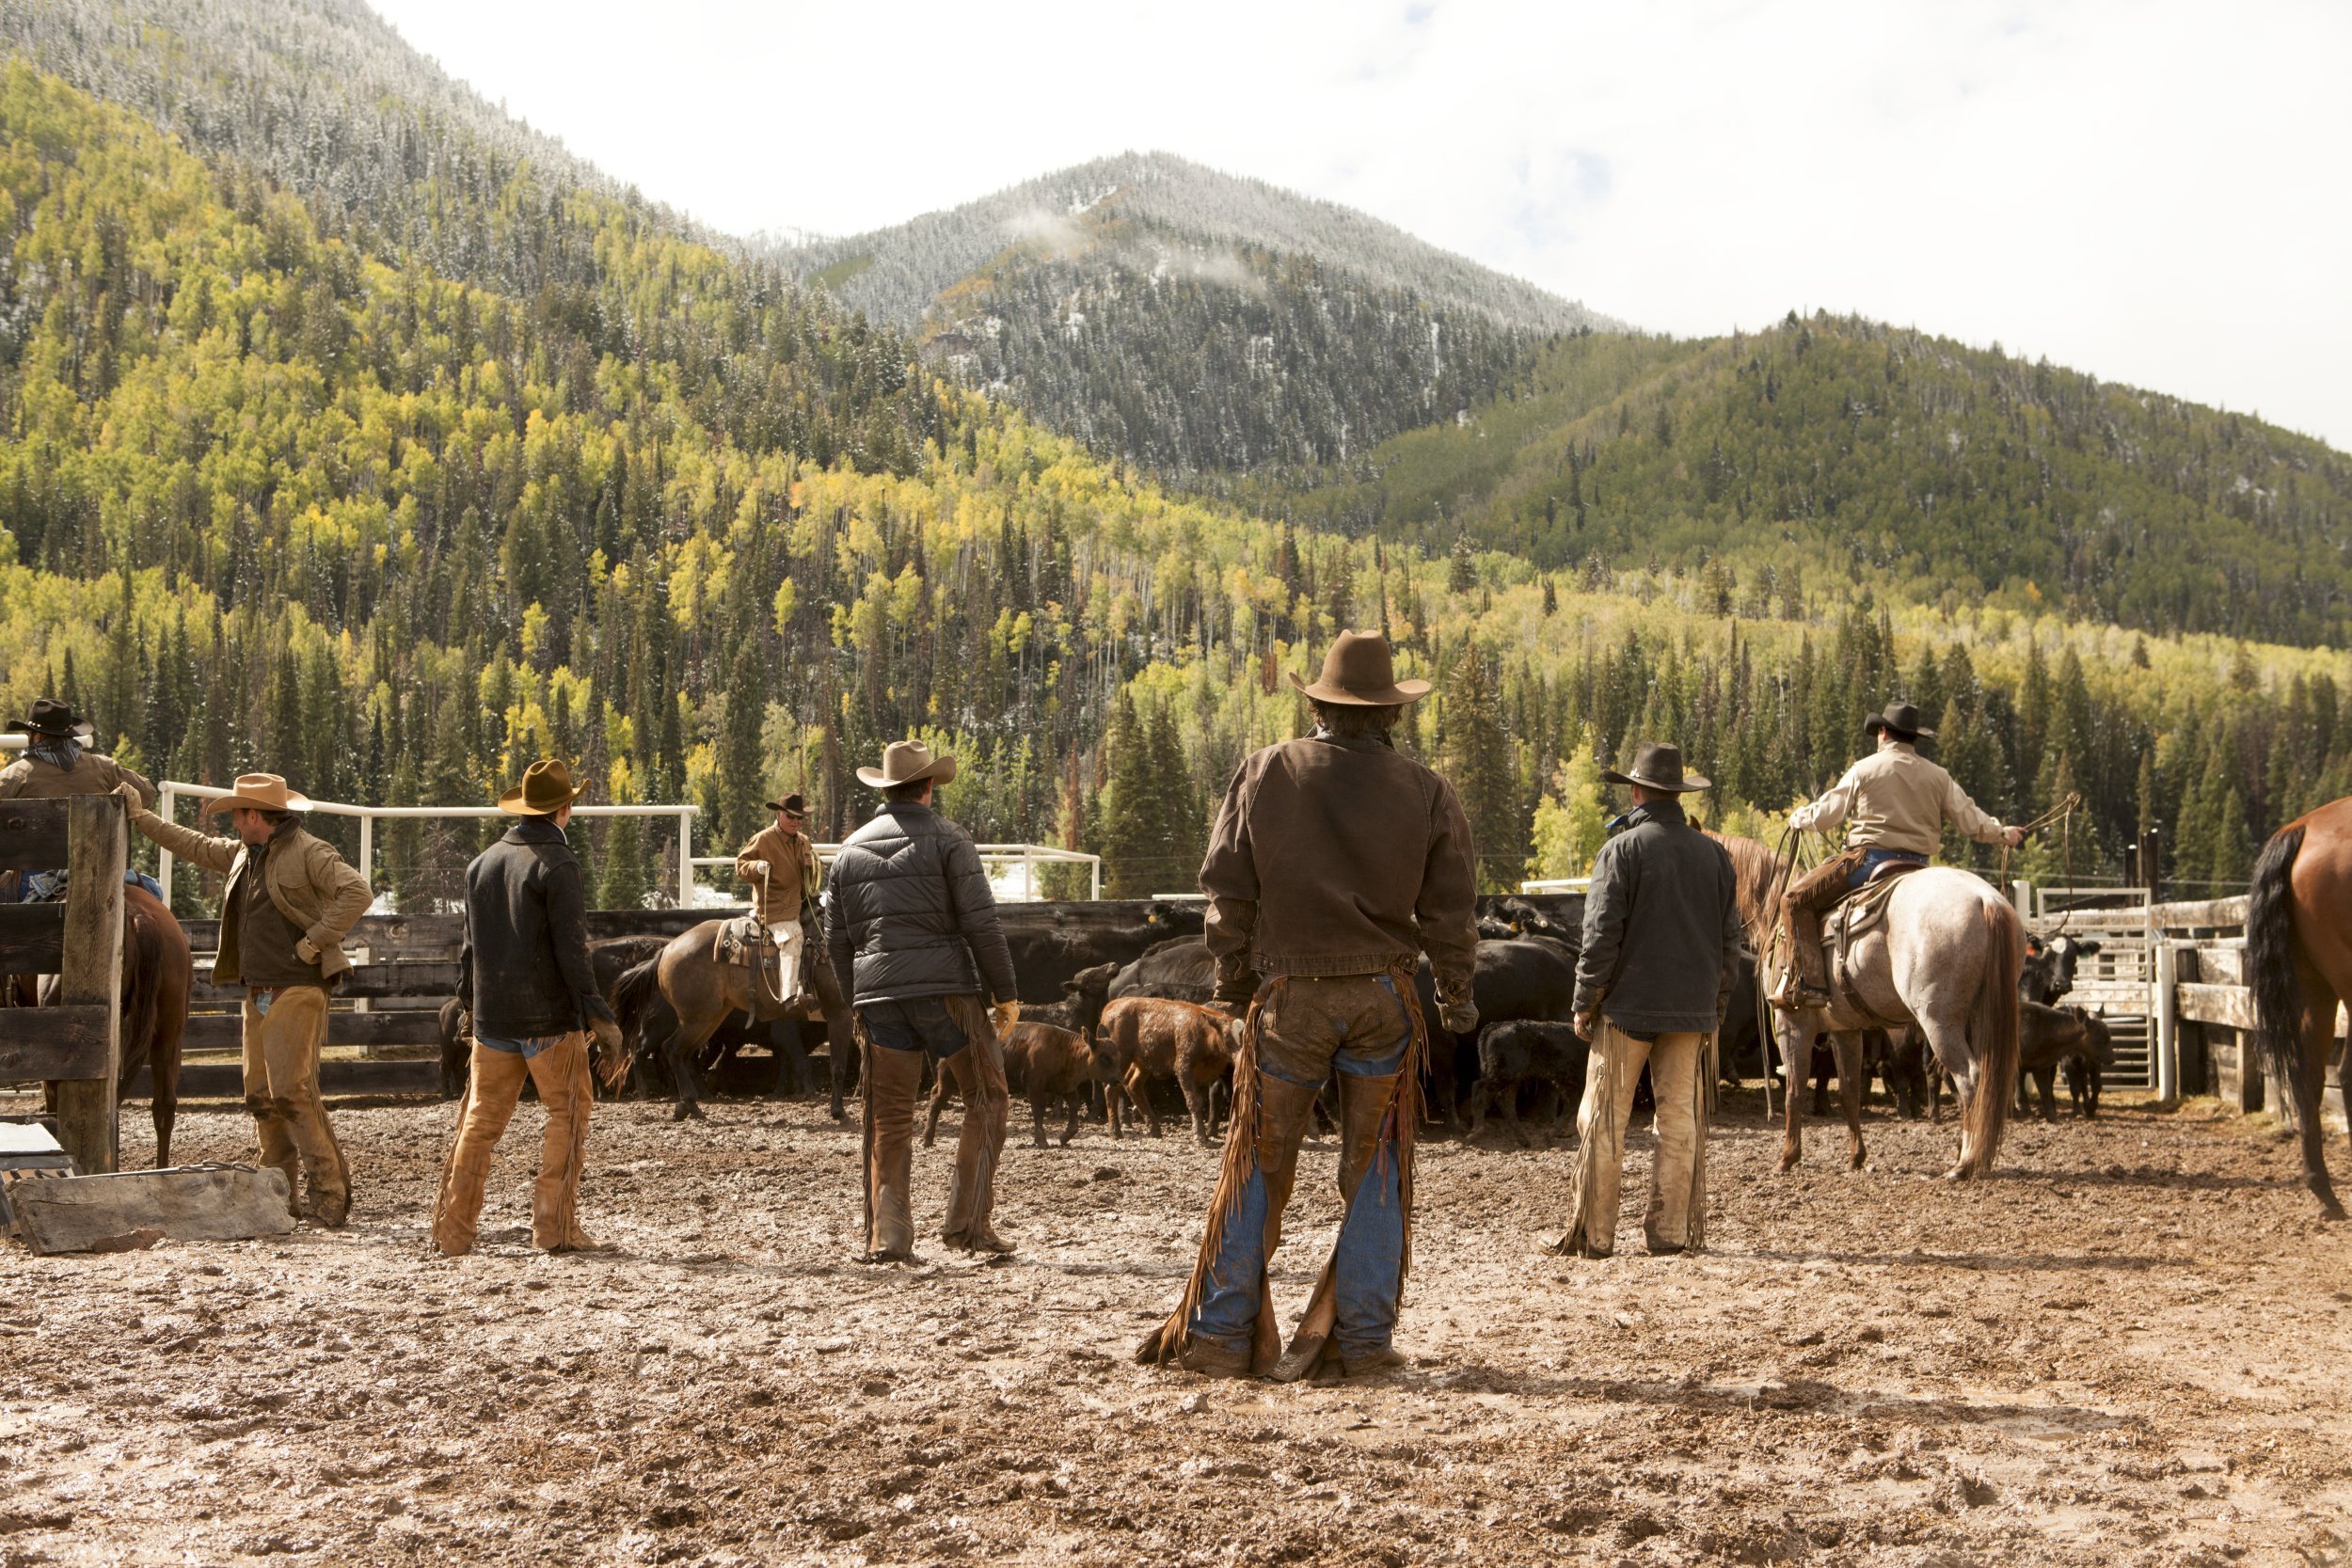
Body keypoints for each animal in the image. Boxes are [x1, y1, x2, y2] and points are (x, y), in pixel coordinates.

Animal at [607, 921, 856, 1128]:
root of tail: (666, 951)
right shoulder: (838, 1015)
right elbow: (835, 1065)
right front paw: (838, 1111)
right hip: (692, 1020)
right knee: (666, 1050)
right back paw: (679, 1100)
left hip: (709, 1019)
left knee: (682, 1055)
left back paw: (688, 1104)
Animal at [1468, 1024, 1599, 1147]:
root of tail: (1496, 1026)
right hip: (1505, 1074)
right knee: (1480, 1088)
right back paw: (1476, 1131)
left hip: (1514, 1079)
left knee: (1504, 1101)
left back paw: (1529, 1139)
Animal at [1712, 832, 2023, 1175]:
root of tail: (1985, 900)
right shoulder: (1844, 1028)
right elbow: (1849, 1089)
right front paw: (1856, 1157)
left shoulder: (1791, 1022)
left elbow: (1795, 1088)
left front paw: (1787, 1157)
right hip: (1981, 1019)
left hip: (1940, 1022)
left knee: (1970, 1080)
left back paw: (1965, 1162)